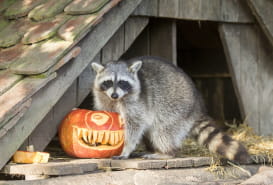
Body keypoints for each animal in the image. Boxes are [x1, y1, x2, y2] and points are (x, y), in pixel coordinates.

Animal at [91, 56, 249, 162]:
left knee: (162, 131)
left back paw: (166, 152)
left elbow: (135, 125)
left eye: (122, 83)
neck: (117, 99)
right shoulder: (104, 99)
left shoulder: (136, 103)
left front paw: (127, 148)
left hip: (175, 110)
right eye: (108, 82)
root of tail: (197, 105)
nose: (114, 95)